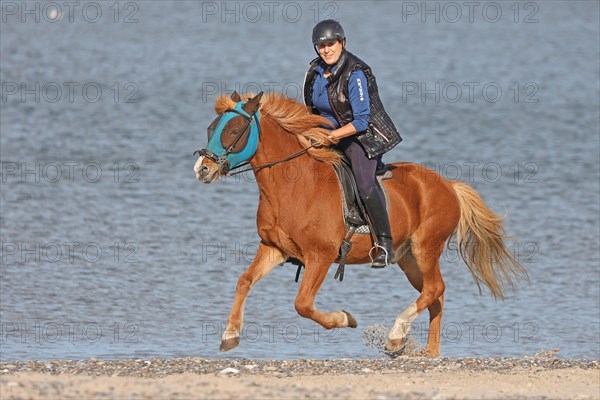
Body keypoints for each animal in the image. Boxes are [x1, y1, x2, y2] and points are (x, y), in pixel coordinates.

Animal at [195, 91, 528, 356]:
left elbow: (303, 304)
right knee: (435, 296)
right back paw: (427, 352)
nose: (202, 169)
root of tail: (449, 185)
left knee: (436, 288)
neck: (292, 185)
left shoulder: (320, 256)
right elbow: (244, 281)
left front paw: (345, 318)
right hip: (408, 258)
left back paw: (395, 336)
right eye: (211, 128)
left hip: (426, 248)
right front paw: (230, 335)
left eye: (233, 130)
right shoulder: (274, 248)